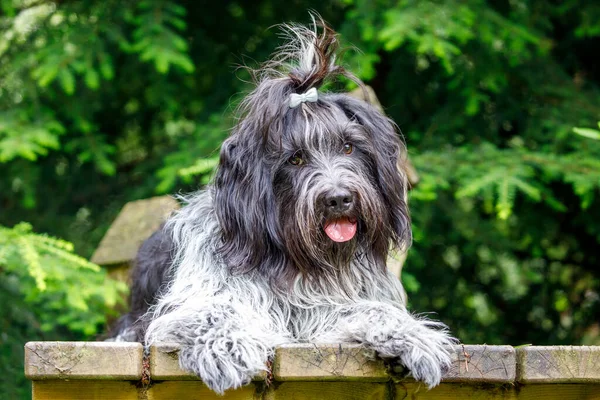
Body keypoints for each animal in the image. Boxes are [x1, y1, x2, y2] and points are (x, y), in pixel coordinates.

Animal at [112, 18, 454, 394]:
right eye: (295, 159)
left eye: (349, 147)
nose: (338, 199)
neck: (294, 259)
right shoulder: (188, 300)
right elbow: (211, 309)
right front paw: (225, 347)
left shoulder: (319, 309)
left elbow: (366, 310)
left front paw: (414, 335)